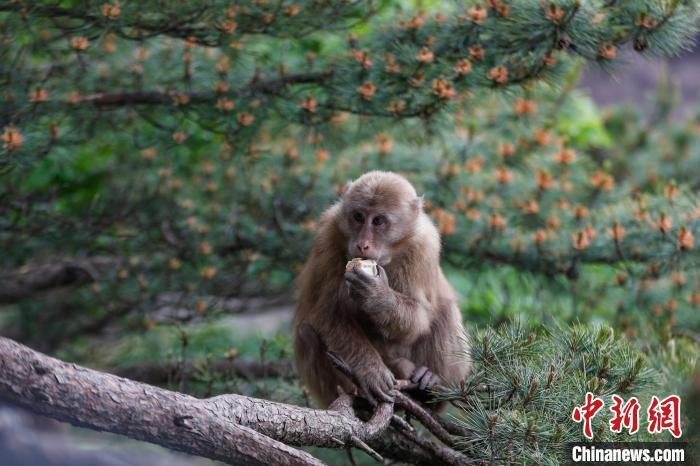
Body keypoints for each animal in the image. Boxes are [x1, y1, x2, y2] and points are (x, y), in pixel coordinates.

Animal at [292, 171, 470, 408]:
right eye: (358, 217)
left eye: (378, 221)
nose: (362, 244)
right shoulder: (327, 236)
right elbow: (329, 313)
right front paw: (371, 372)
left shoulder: (424, 245)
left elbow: (420, 315)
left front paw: (378, 297)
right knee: (306, 333)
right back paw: (352, 391)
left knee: (445, 309)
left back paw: (430, 387)